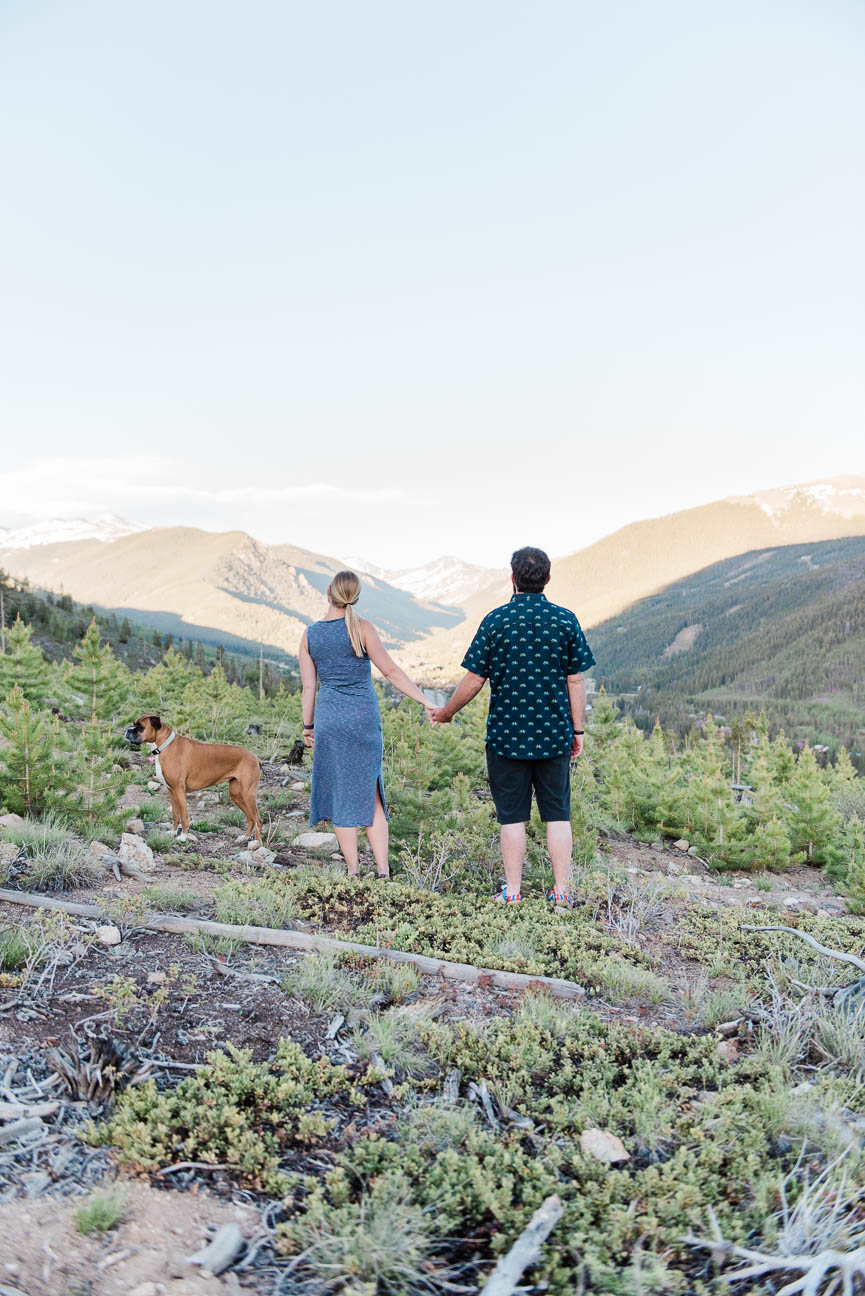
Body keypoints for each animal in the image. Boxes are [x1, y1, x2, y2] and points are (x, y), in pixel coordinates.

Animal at [123, 715, 261, 844]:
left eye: (140, 727)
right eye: (134, 724)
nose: (128, 730)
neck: (165, 746)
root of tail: (255, 757)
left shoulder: (179, 791)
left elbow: (184, 817)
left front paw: (183, 837)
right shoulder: (171, 791)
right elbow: (175, 815)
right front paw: (173, 833)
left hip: (248, 794)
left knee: (258, 820)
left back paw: (256, 843)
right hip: (237, 795)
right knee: (251, 818)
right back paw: (245, 837)